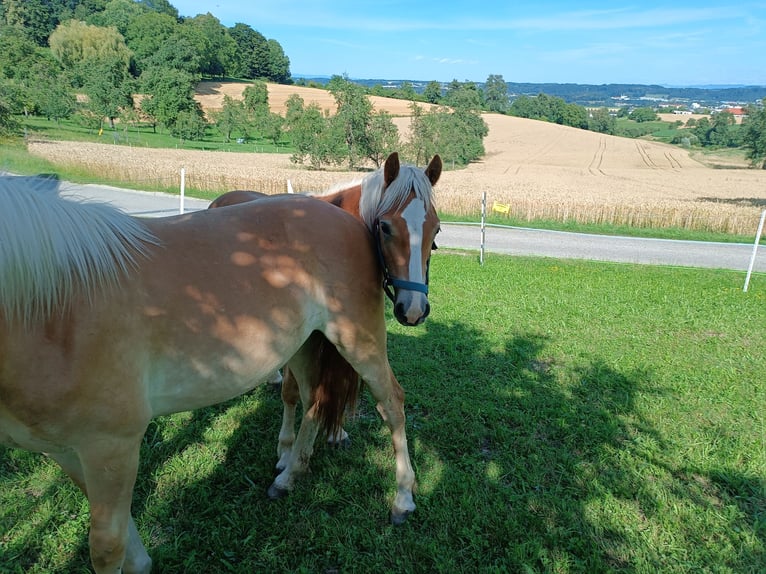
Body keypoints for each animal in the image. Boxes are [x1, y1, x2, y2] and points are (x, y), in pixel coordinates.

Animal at [0, 177, 420, 574]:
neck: (52, 307)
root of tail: (345, 217)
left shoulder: (110, 446)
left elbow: (106, 548)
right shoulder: (65, 450)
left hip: (359, 340)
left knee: (391, 403)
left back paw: (403, 498)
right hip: (303, 345)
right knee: (313, 401)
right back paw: (289, 474)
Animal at [208, 155, 444, 466]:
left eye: (436, 229)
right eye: (385, 227)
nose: (414, 309)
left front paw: (336, 433)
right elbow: (292, 393)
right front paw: (286, 449)